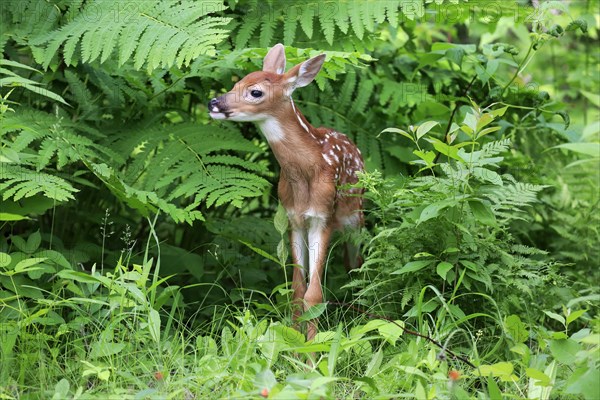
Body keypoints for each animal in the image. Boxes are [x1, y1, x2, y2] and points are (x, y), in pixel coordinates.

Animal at [209, 44, 364, 340]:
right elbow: (297, 289)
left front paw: (311, 349)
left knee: (357, 263)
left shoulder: (322, 217)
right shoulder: (294, 218)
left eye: (255, 92)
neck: (306, 171)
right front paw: (292, 339)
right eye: (236, 83)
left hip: (356, 217)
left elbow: (314, 294)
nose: (214, 103)